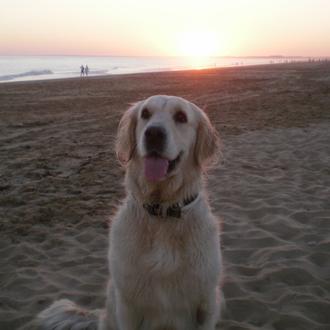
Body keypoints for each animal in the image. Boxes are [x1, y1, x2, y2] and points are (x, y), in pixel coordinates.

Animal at [37, 95, 223, 330]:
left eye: (181, 117)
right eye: (145, 114)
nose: (153, 133)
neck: (162, 212)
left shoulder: (206, 302)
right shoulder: (128, 305)